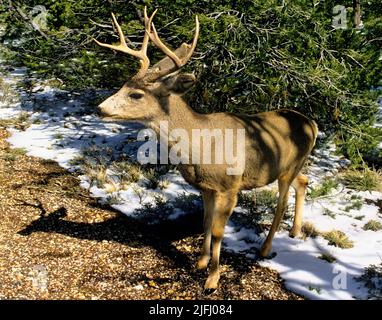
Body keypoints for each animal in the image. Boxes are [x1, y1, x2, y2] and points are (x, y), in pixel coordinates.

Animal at [95, 6, 316, 292]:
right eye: (123, 85)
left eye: (136, 94)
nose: (100, 108)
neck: (198, 147)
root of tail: (312, 123)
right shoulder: (205, 187)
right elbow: (206, 223)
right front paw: (200, 262)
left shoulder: (230, 186)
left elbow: (220, 231)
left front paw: (212, 279)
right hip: (292, 166)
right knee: (304, 180)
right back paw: (295, 231)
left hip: (286, 168)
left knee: (281, 202)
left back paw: (266, 248)